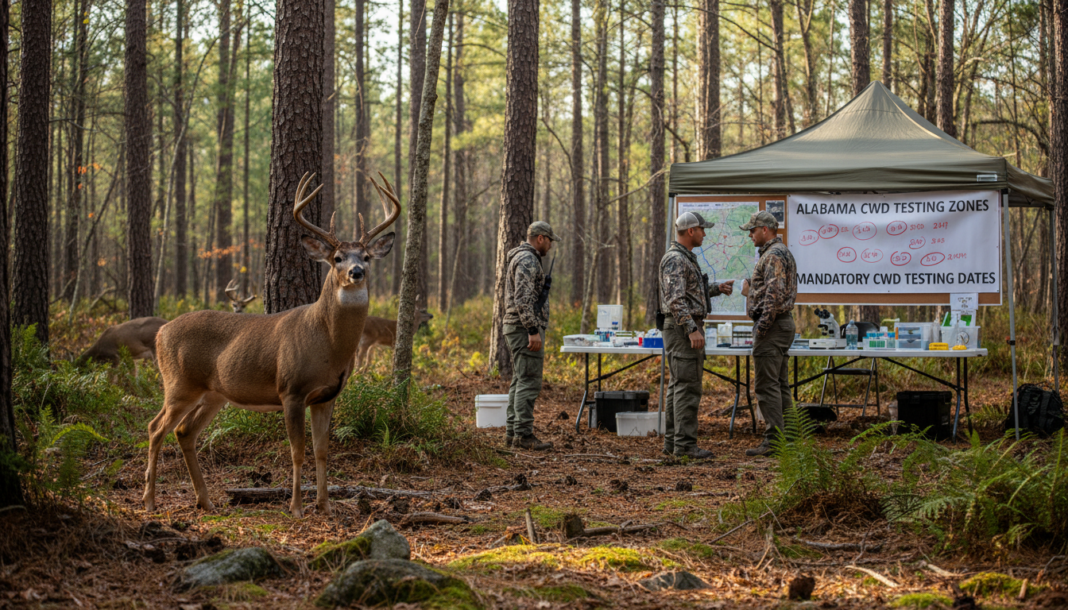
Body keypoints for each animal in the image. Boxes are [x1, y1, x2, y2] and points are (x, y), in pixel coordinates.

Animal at [143, 172, 400, 518]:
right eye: (337, 258)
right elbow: (297, 451)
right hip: (179, 383)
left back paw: (205, 501)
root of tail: (160, 333)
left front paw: (325, 506)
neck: (328, 345)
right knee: (155, 427)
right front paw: (296, 507)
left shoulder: (326, 396)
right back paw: (150, 500)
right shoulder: (291, 389)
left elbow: (322, 450)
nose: (356, 272)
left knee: (184, 432)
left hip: (214, 394)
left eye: (367, 257)